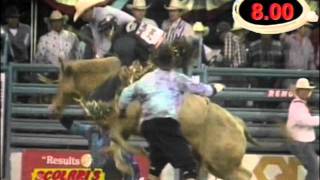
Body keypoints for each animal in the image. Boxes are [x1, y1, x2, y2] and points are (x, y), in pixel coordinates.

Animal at [47, 57, 258, 179]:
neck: (112, 84)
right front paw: (126, 166)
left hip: (222, 164)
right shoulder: (123, 130)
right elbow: (115, 146)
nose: (53, 108)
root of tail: (238, 124)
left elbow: (116, 139)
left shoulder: (126, 123)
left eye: (62, 82)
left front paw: (139, 153)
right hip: (216, 164)